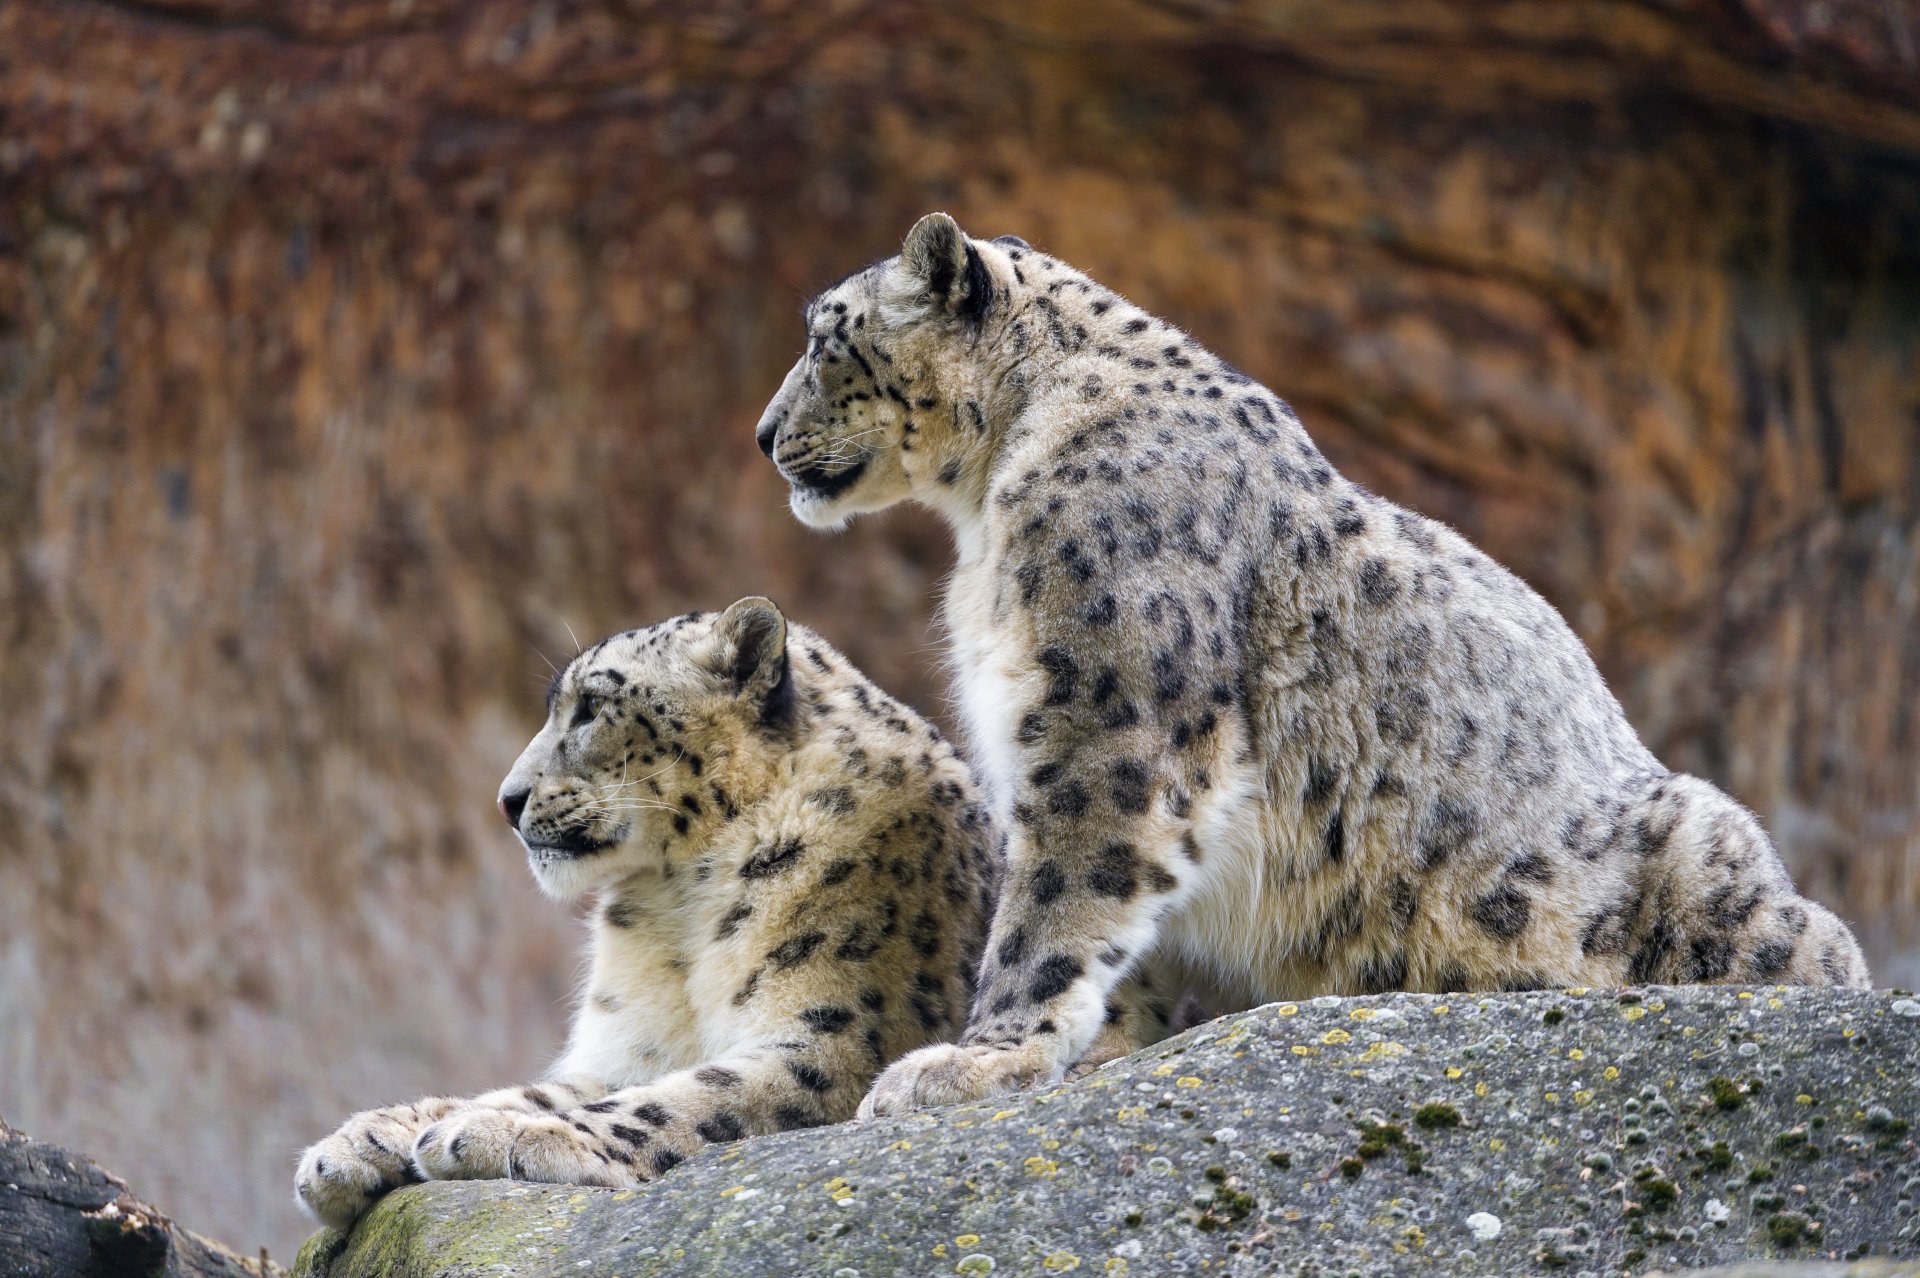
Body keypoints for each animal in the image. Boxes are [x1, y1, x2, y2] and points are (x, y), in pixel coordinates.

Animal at [294, 597, 1003, 1227]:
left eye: (590, 709)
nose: (506, 800)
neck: (681, 909)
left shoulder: (838, 1036)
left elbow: (687, 1098)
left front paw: (501, 1131)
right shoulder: (629, 1050)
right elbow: (560, 1087)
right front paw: (365, 1139)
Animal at [749, 213, 1871, 1119]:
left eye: (822, 337)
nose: (761, 435)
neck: (987, 505)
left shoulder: (1106, 715)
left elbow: (1058, 902)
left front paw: (973, 1063)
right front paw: (1105, 1045)